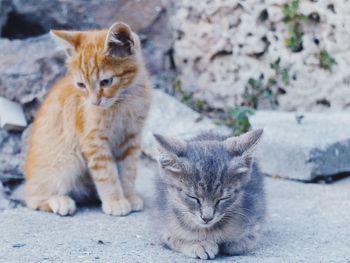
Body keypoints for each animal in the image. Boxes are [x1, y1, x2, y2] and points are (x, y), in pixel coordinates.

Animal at [22, 22, 152, 217]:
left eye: (106, 82)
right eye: (81, 85)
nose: (94, 102)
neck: (124, 100)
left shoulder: (131, 138)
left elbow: (128, 171)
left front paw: (129, 196)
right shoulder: (93, 140)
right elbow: (107, 173)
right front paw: (115, 201)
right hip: (67, 160)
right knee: (32, 196)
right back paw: (59, 201)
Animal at [153, 130, 266, 260]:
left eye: (223, 198)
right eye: (192, 197)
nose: (207, 218)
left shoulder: (257, 214)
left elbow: (247, 238)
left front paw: (234, 242)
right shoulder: (162, 223)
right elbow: (174, 238)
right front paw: (199, 245)